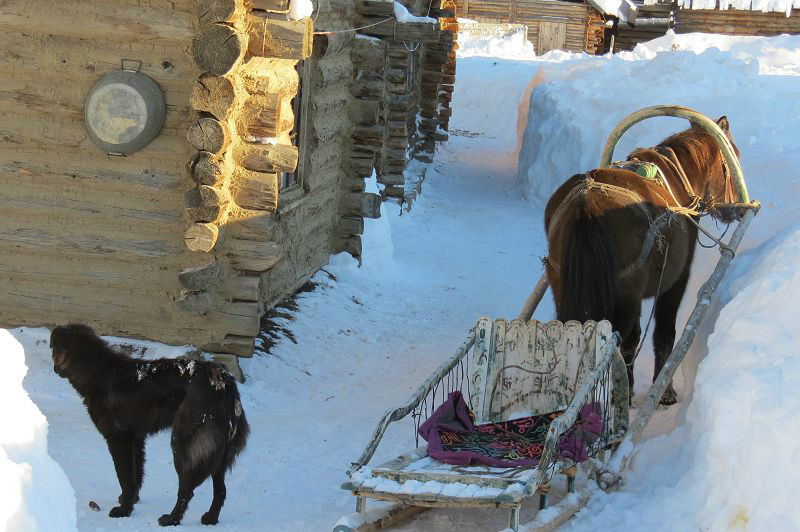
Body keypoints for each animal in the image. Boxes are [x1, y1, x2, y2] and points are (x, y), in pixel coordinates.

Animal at [49, 322, 247, 524]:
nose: (54, 368)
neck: (96, 371)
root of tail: (223, 382)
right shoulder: (136, 439)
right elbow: (136, 476)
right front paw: (131, 501)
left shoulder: (118, 440)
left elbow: (125, 479)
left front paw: (123, 510)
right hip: (219, 453)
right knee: (221, 490)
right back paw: (210, 518)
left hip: (183, 444)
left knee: (187, 489)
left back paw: (171, 519)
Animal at [544, 116, 736, 406]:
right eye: (734, 155)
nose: (735, 209)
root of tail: (587, 206)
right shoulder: (675, 282)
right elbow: (663, 335)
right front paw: (664, 393)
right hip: (625, 297)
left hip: (565, 288)